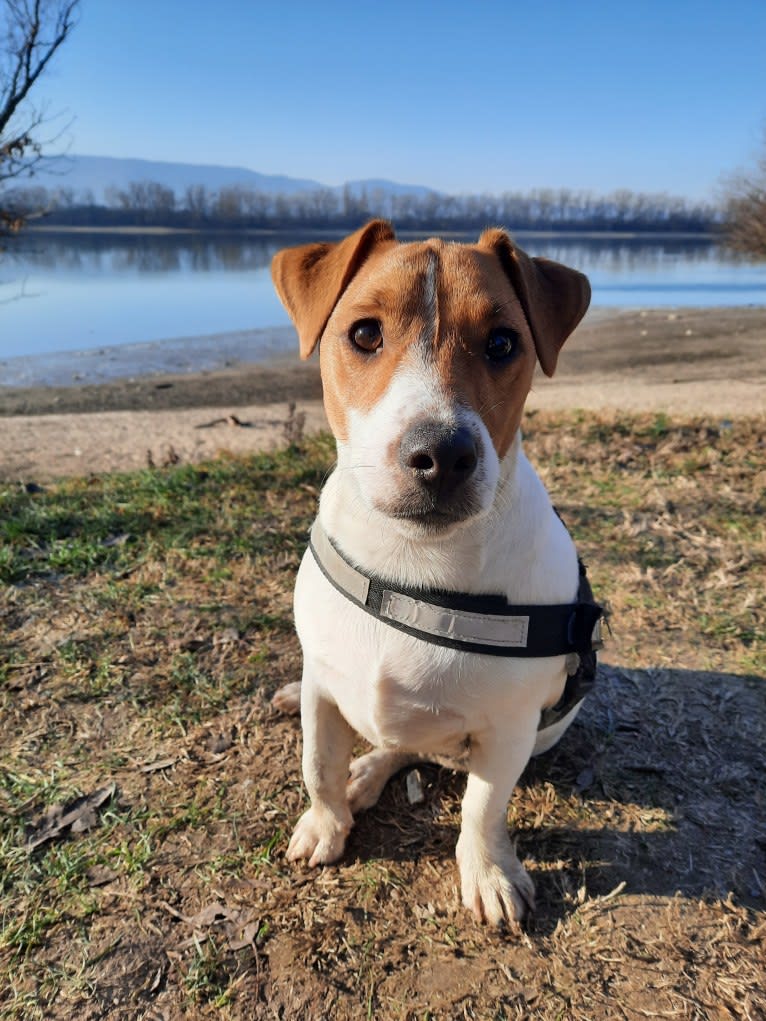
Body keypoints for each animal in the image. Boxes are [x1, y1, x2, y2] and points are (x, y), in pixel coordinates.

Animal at [273, 221, 604, 927]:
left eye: (503, 343)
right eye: (364, 334)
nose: (442, 455)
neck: (411, 569)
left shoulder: (510, 731)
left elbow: (482, 807)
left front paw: (488, 873)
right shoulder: (324, 688)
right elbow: (317, 762)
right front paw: (325, 824)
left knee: (417, 748)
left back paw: (371, 772)